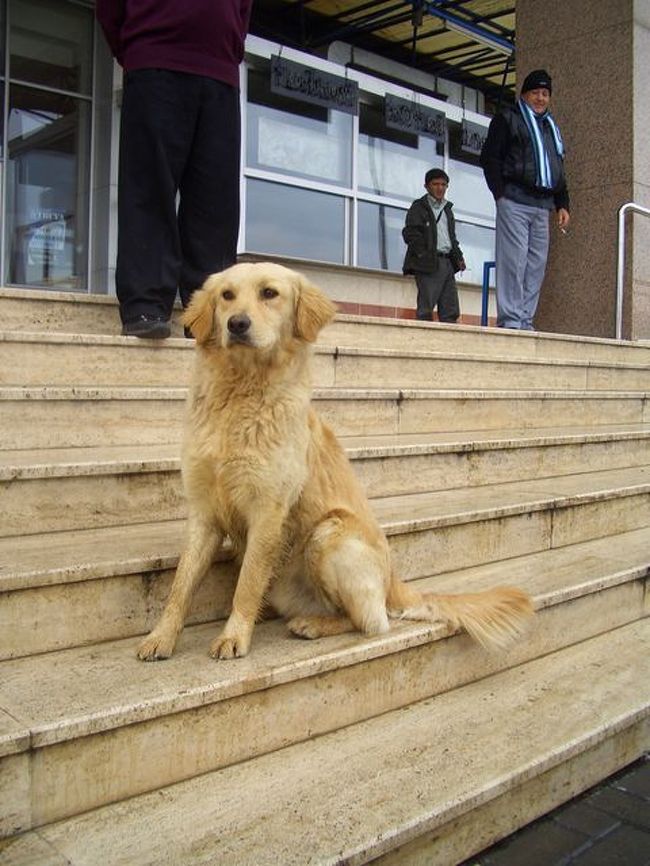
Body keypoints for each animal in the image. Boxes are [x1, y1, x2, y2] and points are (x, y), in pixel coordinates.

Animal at [137, 262, 534, 662]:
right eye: (226, 296)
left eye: (269, 293)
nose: (237, 324)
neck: (241, 393)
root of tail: (394, 580)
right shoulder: (204, 513)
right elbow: (181, 585)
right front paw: (161, 637)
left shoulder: (268, 511)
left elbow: (246, 585)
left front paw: (234, 636)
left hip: (329, 534)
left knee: (372, 622)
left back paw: (314, 625)